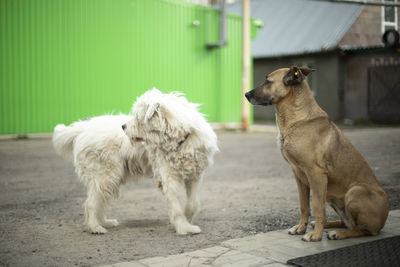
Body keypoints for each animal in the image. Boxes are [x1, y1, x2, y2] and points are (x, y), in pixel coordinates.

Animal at [52, 89, 219, 234]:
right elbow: (176, 206)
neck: (180, 140)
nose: (123, 126)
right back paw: (95, 227)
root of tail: (82, 128)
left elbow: (193, 204)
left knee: (100, 201)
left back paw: (105, 222)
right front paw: (184, 228)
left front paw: (188, 219)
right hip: (106, 175)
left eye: (138, 118)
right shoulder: (168, 178)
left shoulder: (195, 176)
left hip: (110, 178)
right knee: (91, 203)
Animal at [245, 66, 390, 242]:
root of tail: (383, 220)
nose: (246, 94)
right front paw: (301, 228)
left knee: (362, 229)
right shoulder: (299, 176)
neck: (297, 119)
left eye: (268, 81)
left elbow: (316, 207)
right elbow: (304, 206)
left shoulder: (316, 175)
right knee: (346, 223)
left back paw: (338, 233)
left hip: (354, 192)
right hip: (333, 197)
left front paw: (315, 236)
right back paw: (329, 226)